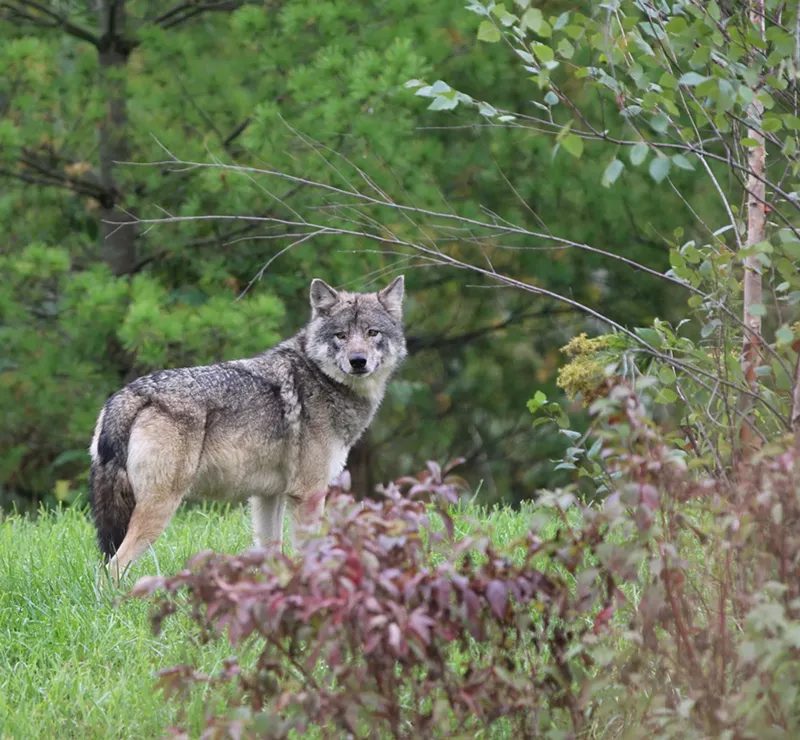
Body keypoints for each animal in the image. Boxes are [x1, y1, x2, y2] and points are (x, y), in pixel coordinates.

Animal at [89, 276, 406, 580]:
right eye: (341, 335)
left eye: (372, 333)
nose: (358, 361)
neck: (321, 379)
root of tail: (130, 393)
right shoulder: (308, 494)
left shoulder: (269, 496)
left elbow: (272, 553)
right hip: (160, 507)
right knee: (113, 567)